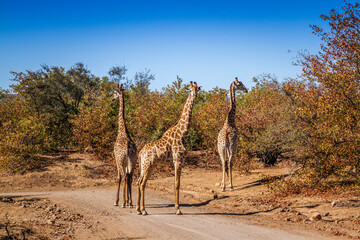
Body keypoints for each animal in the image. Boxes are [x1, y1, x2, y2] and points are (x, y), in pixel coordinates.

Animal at [136, 81, 201, 216]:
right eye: (190, 90)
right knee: (142, 183)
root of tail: (140, 153)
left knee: (139, 181)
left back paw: (139, 209)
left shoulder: (178, 160)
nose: (194, 96)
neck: (182, 134)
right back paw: (144, 210)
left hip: (146, 166)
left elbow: (176, 182)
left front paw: (177, 208)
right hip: (147, 165)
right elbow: (177, 183)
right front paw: (178, 209)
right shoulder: (178, 158)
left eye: (197, 89)